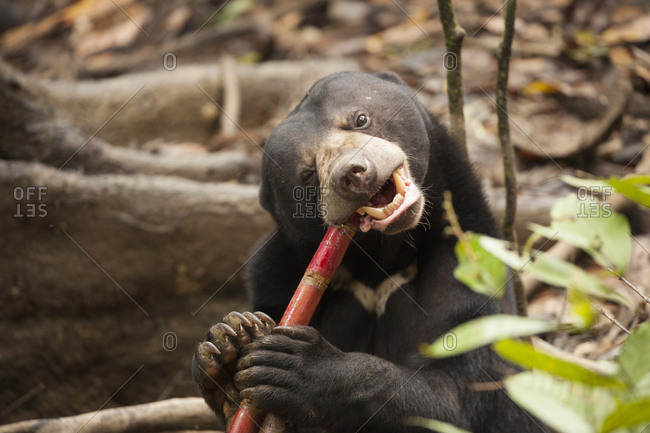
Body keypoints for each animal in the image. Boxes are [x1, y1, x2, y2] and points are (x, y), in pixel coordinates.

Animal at [191, 71, 540, 432]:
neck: (381, 257)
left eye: (360, 119)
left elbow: (460, 395)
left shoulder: (465, 264)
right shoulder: (276, 272)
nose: (354, 173)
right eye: (308, 174)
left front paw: (300, 368)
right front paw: (228, 349)